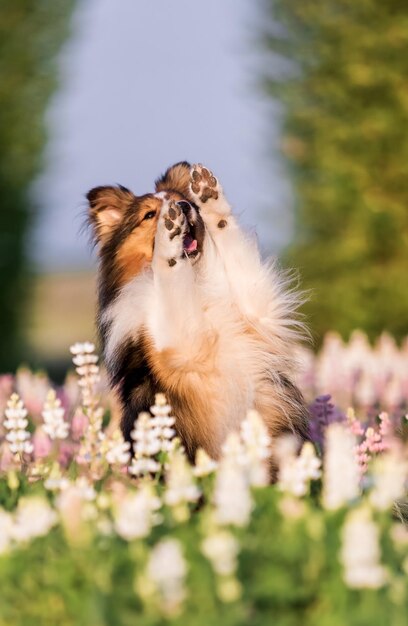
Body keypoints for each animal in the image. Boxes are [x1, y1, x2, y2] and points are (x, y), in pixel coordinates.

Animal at [87, 161, 310, 468]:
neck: (196, 283)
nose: (181, 207)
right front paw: (168, 238)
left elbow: (230, 245)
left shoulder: (257, 311)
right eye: (149, 215)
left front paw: (208, 194)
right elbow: (169, 275)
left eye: (185, 200)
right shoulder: (181, 349)